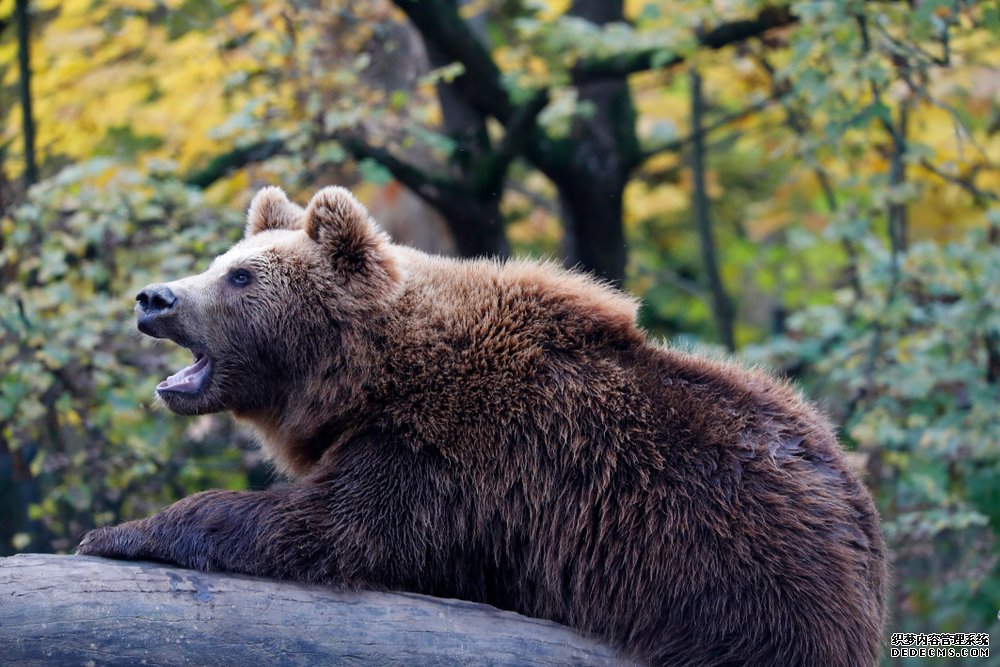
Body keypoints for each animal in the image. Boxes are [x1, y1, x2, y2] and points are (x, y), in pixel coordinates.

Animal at [82, 185, 888, 664]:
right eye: (222, 259)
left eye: (240, 276)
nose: (154, 296)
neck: (371, 377)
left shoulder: (452, 452)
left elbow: (327, 528)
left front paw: (119, 532)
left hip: (745, 576)